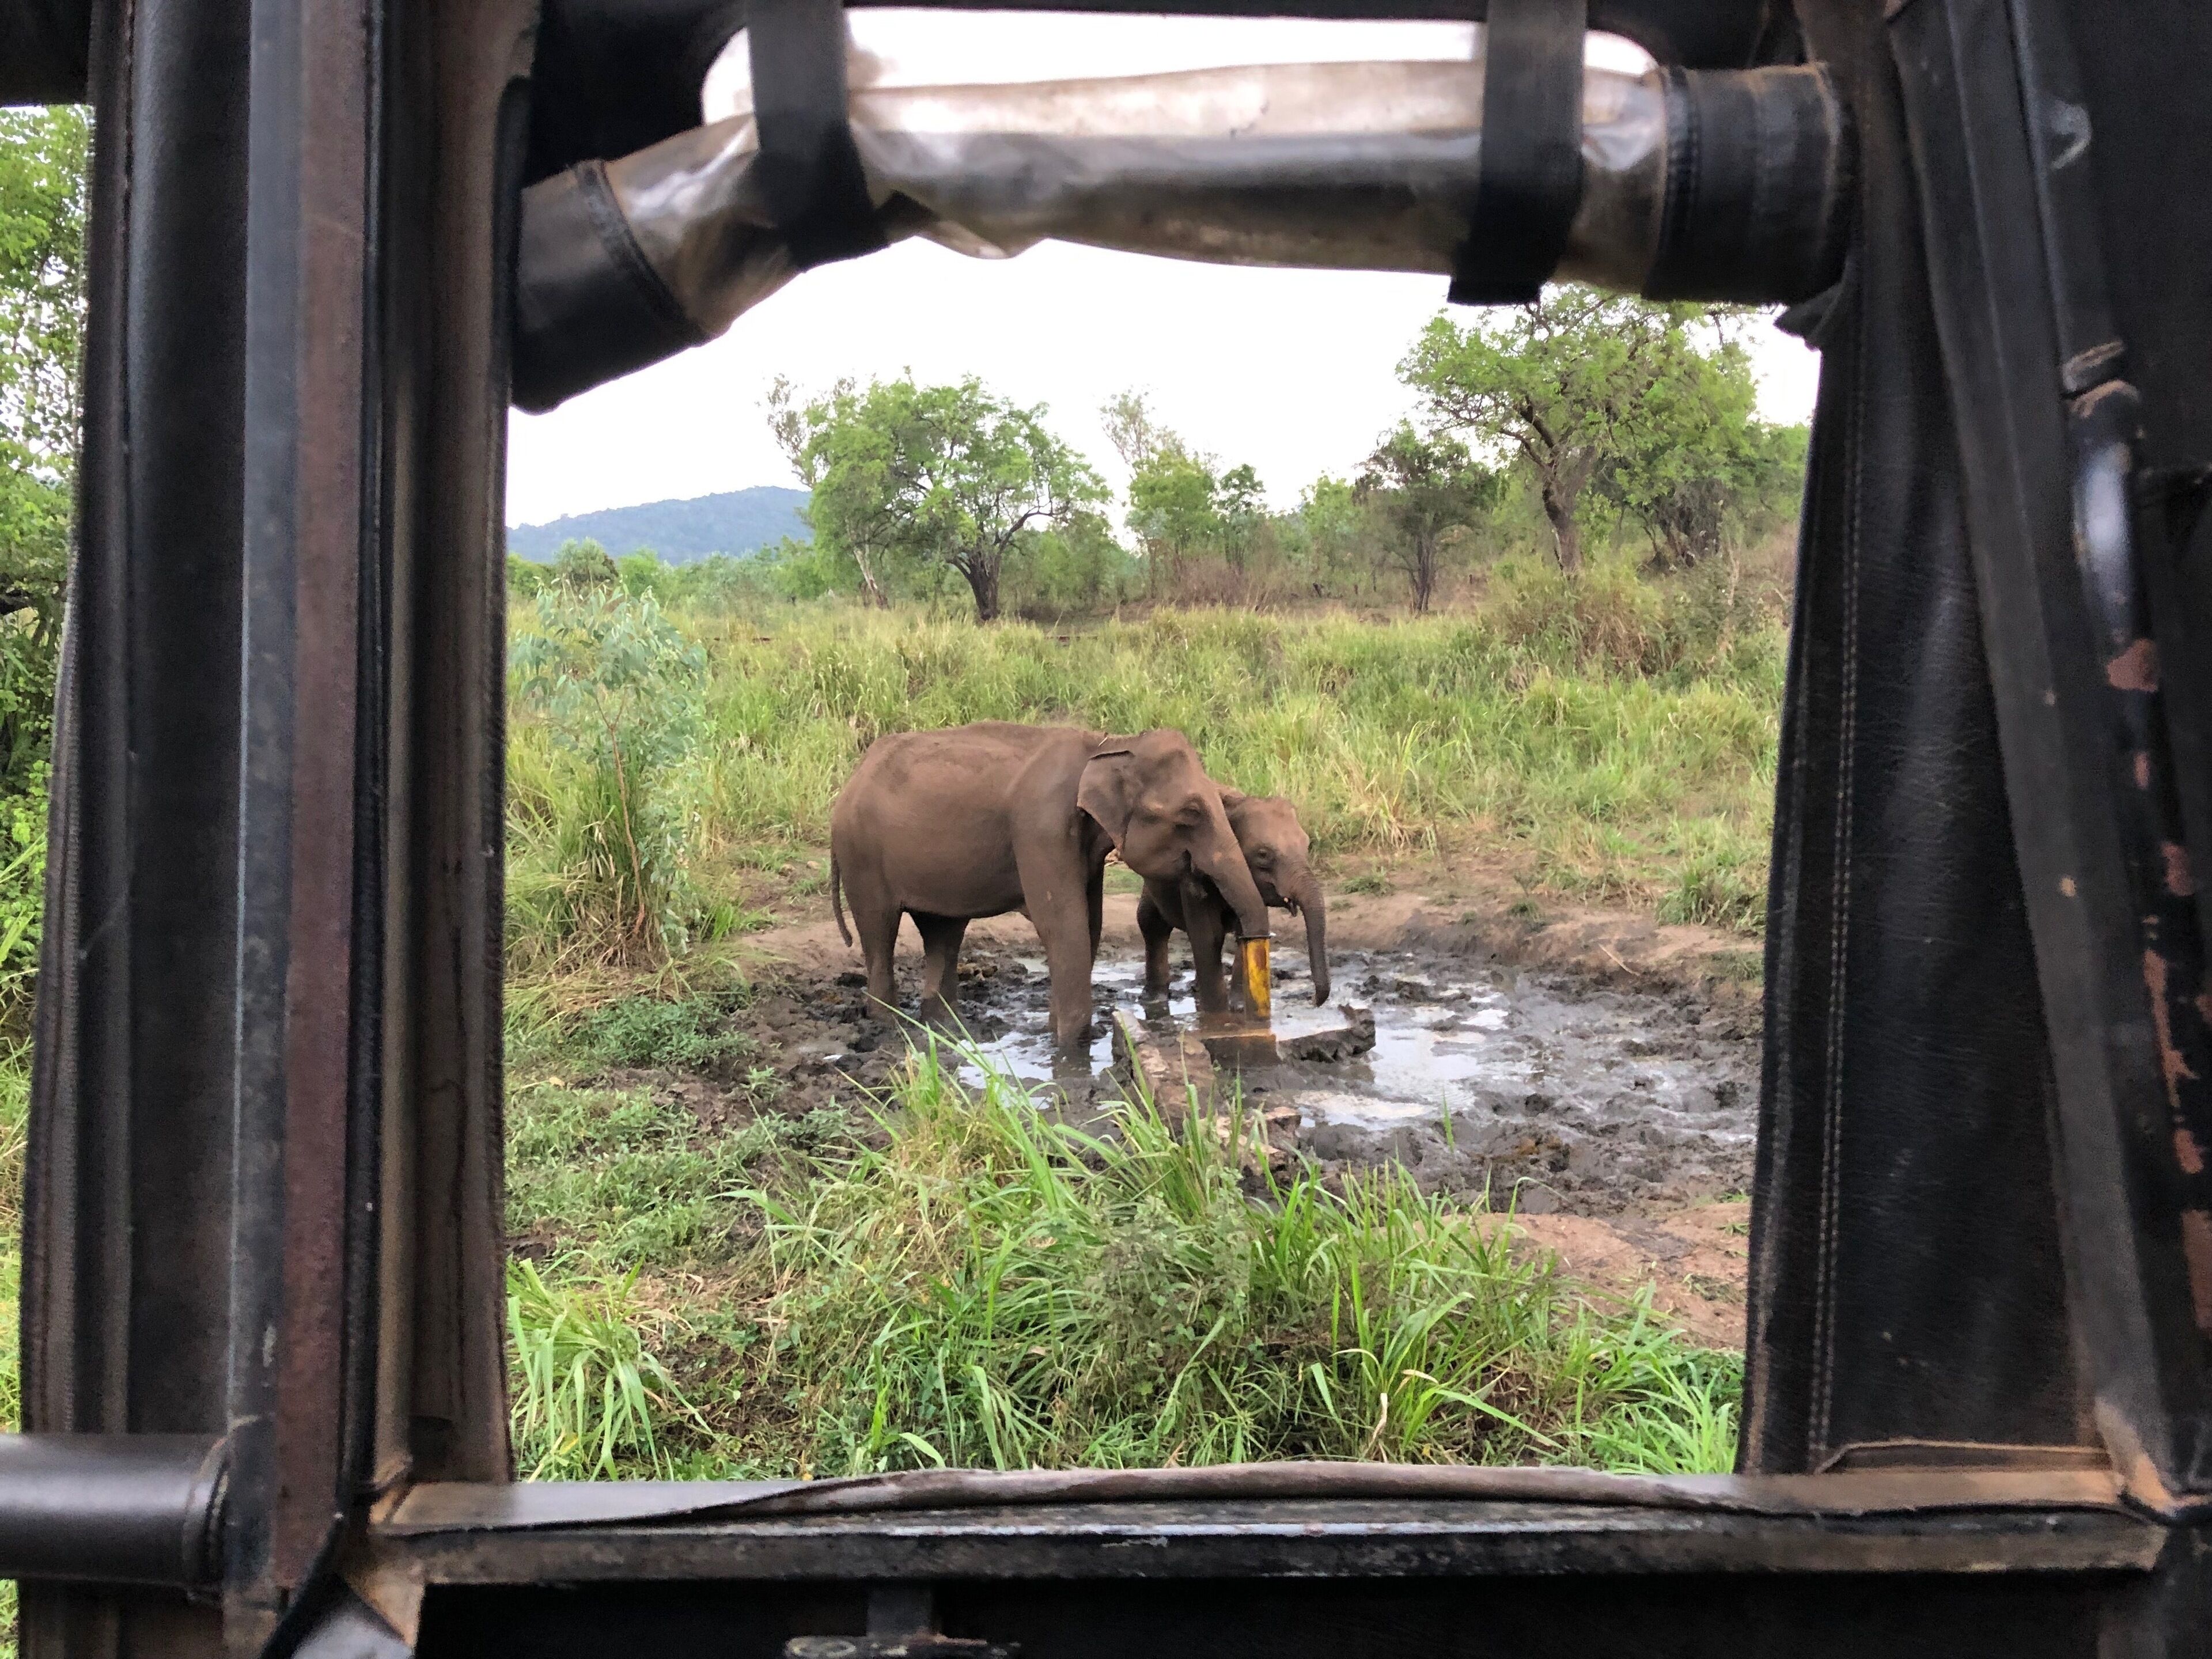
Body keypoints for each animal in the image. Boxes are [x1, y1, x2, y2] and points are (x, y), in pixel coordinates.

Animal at [829, 722, 1272, 1049]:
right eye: (1191, 813)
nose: (1253, 1021)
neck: (1110, 744)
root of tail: (854, 777)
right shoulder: (1040, 827)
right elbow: (1064, 924)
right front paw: (1071, 1049)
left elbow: (1089, 926)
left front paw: (1056, 1033)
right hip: (861, 856)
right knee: (880, 932)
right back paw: (888, 1026)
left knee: (943, 932)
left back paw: (945, 1027)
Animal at [1138, 790, 1330, 1015]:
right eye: (1263, 854)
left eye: (1307, 845)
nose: (1313, 1001)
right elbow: (1208, 934)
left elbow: (1245, 934)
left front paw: (1239, 1007)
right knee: (1151, 925)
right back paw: (1154, 1000)